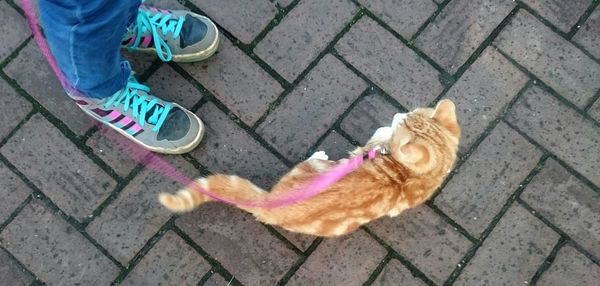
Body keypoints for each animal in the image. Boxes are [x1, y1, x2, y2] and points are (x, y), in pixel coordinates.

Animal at [159, 99, 460, 236]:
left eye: (403, 122)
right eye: (407, 114)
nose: (397, 114)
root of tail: (270, 204)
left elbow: (378, 134)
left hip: (313, 166)